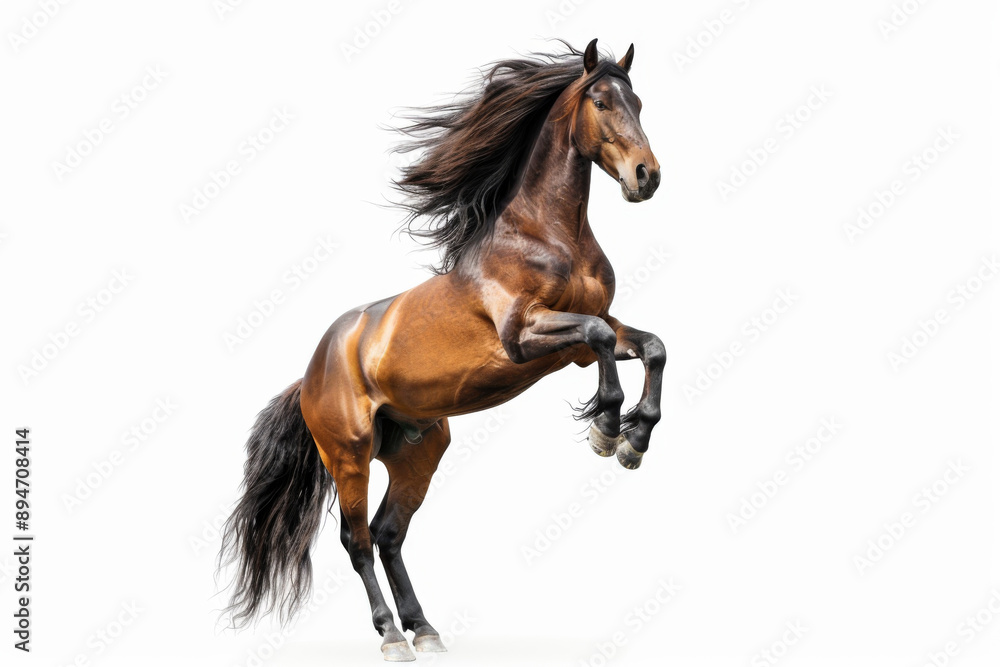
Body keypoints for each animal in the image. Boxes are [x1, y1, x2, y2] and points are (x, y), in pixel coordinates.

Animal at [218, 38, 664, 662]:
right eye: (601, 101)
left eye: (639, 102)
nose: (647, 176)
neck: (548, 235)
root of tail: (310, 372)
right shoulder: (525, 336)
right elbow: (602, 343)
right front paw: (605, 429)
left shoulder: (586, 335)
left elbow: (651, 347)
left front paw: (634, 440)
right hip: (348, 455)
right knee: (357, 540)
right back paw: (390, 636)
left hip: (417, 452)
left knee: (389, 533)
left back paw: (424, 629)